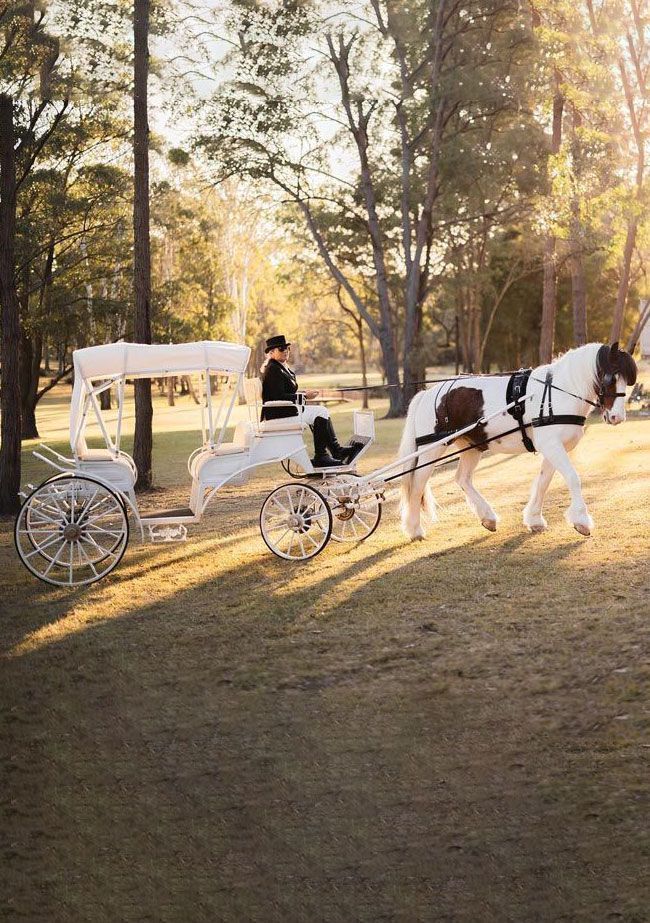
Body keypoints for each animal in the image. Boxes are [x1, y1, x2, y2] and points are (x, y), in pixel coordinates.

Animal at [398, 342, 638, 540]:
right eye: (610, 378)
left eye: (628, 381)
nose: (617, 417)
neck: (558, 391)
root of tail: (427, 393)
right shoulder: (551, 446)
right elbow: (572, 477)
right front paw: (581, 520)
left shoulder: (553, 447)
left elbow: (543, 482)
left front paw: (534, 519)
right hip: (431, 448)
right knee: (417, 484)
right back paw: (415, 529)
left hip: (472, 446)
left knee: (462, 478)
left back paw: (487, 516)